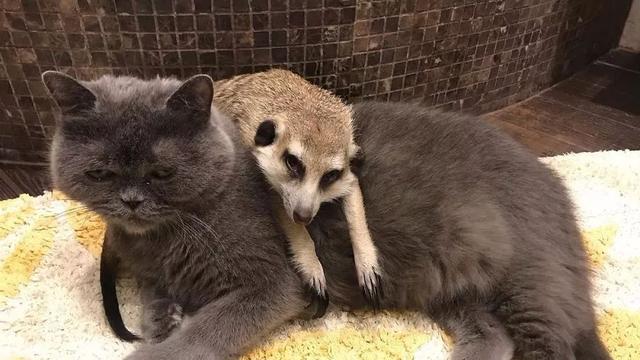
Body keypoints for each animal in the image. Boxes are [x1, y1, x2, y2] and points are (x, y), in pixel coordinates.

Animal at [41, 71, 312, 358]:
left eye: (162, 173)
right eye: (100, 174)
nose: (131, 200)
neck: (164, 240)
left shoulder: (271, 282)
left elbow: (206, 331)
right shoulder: (148, 273)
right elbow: (152, 293)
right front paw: (162, 321)